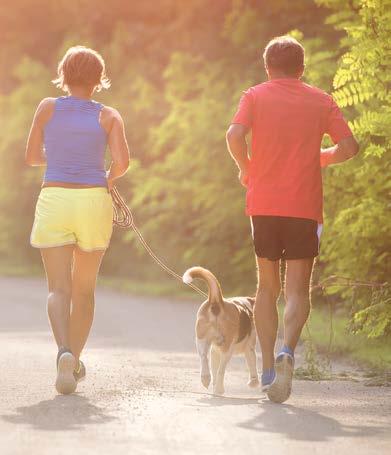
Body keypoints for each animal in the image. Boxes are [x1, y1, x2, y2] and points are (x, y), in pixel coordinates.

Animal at [184, 268, 260, 396]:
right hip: (227, 348)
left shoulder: (215, 351)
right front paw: (254, 383)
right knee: (221, 370)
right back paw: (219, 390)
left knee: (204, 358)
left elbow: (213, 369)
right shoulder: (249, 348)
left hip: (201, 340)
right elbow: (252, 364)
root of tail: (217, 302)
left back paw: (206, 379)